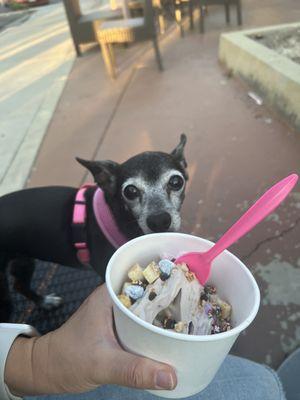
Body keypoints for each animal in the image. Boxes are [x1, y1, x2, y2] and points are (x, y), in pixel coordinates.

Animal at [0, 134, 188, 322]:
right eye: (130, 191)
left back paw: (44, 301)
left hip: (23, 260)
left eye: (176, 182)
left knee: (19, 285)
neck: (118, 215)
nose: (159, 220)